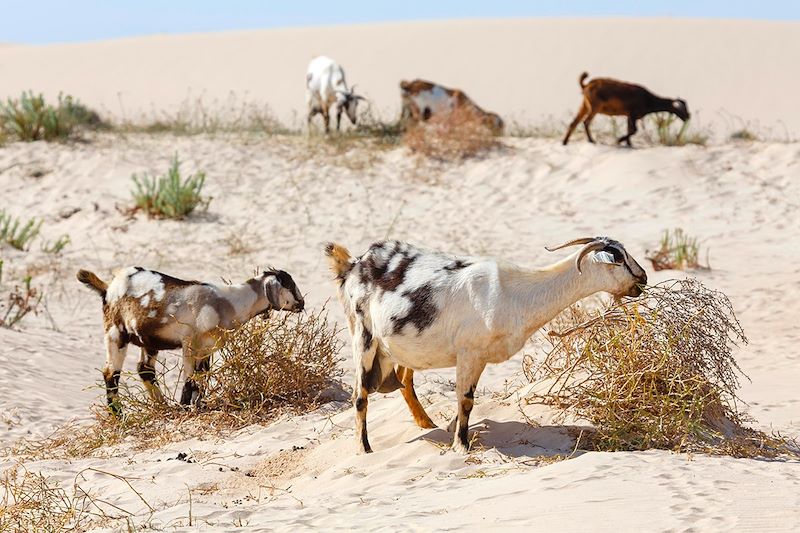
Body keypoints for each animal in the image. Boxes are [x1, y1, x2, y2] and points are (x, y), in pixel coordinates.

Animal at [77, 266, 304, 412]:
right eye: (290, 285)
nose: (302, 303)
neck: (228, 302)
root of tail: (108, 288)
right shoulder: (190, 344)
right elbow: (190, 378)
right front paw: (186, 408)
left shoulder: (207, 348)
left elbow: (201, 378)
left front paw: (197, 406)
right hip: (116, 334)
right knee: (110, 373)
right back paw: (119, 416)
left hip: (148, 342)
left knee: (145, 369)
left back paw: (163, 408)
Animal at [324, 237, 648, 454]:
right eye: (619, 259)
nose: (643, 278)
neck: (516, 292)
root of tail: (353, 264)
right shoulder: (470, 352)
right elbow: (465, 399)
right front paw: (461, 446)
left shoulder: (479, 358)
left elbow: (465, 400)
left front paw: (452, 432)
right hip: (363, 336)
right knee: (360, 396)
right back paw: (364, 449)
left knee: (403, 381)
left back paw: (426, 425)